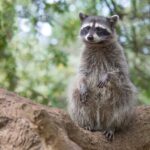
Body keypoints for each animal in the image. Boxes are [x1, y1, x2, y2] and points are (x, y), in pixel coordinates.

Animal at [67, 12, 137, 141]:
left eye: (99, 29)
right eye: (87, 28)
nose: (90, 37)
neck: (97, 45)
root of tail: (99, 123)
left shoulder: (118, 52)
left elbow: (121, 72)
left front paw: (107, 75)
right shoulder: (84, 55)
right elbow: (82, 74)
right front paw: (82, 84)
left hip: (118, 102)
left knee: (122, 104)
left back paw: (112, 126)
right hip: (86, 105)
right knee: (77, 99)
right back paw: (86, 123)